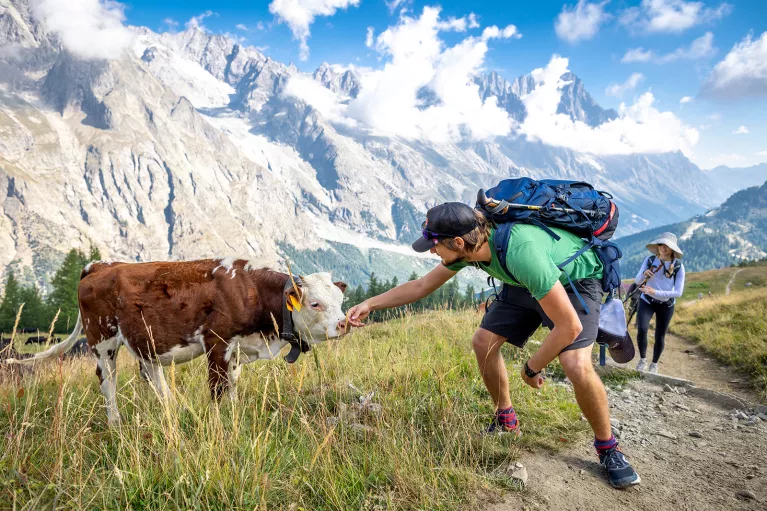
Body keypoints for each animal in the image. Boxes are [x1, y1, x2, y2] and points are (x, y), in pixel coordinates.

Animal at [6, 258, 351, 425]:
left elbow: (233, 385)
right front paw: (218, 423)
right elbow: (217, 388)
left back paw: (170, 409)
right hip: (102, 340)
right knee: (108, 381)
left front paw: (234, 414)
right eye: (315, 303)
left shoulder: (237, 348)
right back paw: (115, 422)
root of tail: (101, 265)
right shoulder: (217, 343)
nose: (344, 323)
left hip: (142, 341)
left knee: (152, 375)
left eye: (340, 300)